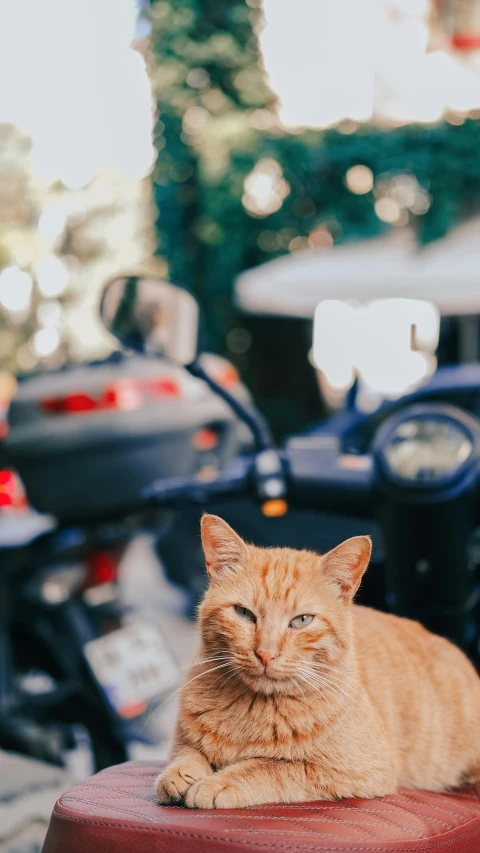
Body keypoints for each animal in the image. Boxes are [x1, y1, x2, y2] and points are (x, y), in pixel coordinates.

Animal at [155, 512, 480, 804]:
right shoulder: (182, 744)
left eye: (301, 621)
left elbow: (269, 767)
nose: (266, 653)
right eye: (244, 613)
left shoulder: (357, 770)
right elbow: (186, 754)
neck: (253, 708)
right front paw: (178, 775)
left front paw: (218, 783)